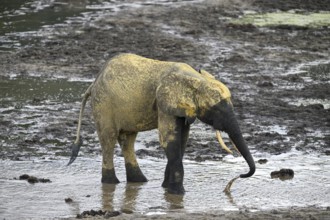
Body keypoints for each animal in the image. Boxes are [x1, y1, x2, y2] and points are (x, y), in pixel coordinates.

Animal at [68, 53, 255, 194]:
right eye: (216, 109)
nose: (236, 178)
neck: (196, 79)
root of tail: (93, 83)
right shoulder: (163, 103)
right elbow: (169, 141)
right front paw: (177, 193)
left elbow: (182, 141)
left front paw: (166, 188)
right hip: (103, 104)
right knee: (109, 139)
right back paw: (112, 183)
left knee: (128, 139)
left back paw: (139, 181)